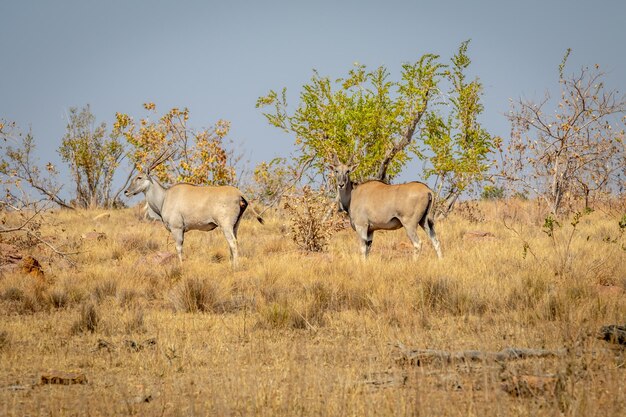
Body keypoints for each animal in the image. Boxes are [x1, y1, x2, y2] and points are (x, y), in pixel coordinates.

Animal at [124, 152, 264, 266]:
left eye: (139, 177)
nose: (126, 192)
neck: (164, 197)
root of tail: (239, 193)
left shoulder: (177, 229)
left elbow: (178, 248)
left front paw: (181, 266)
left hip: (226, 225)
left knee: (233, 243)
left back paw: (235, 267)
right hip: (235, 225)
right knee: (234, 243)